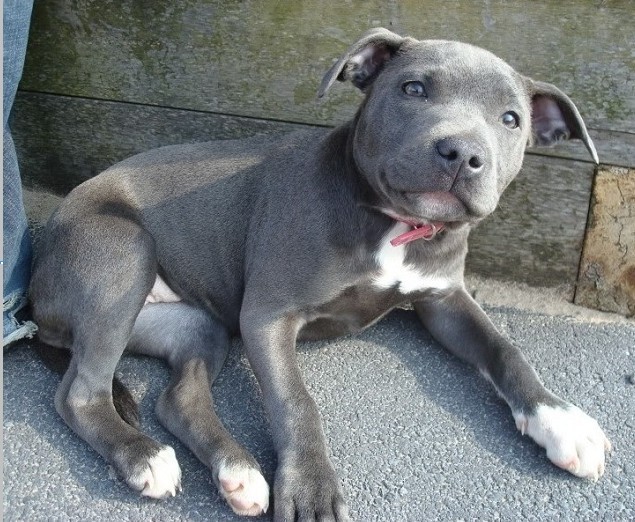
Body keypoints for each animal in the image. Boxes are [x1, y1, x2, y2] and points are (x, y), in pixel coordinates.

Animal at [31, 29, 612, 520]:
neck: (393, 224)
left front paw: (559, 418)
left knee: (179, 399)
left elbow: (505, 348)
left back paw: (238, 473)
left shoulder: (445, 300)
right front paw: (311, 487)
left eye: (511, 120)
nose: (463, 152)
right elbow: (296, 401)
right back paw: (144, 458)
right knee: (80, 394)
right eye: (414, 88)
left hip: (195, 324)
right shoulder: (268, 315)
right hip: (123, 256)